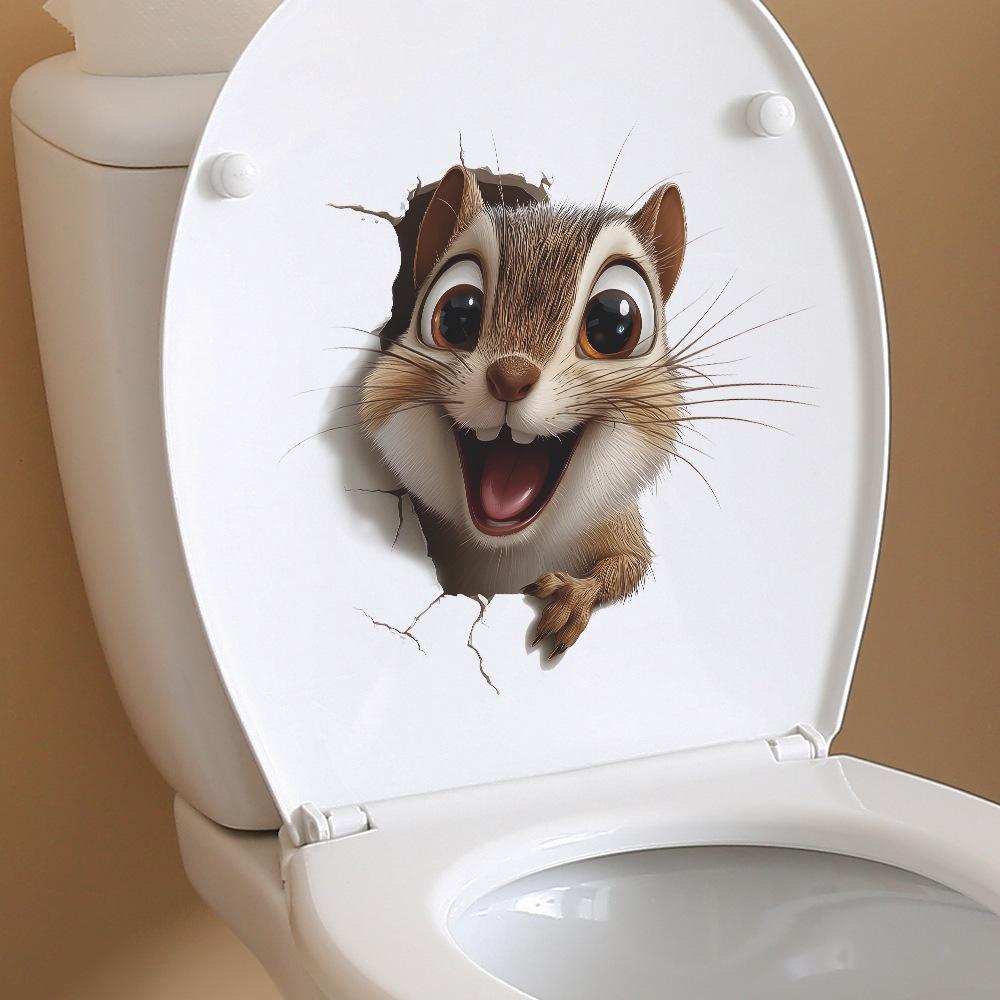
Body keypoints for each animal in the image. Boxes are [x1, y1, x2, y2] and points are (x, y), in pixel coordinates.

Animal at [360, 165, 687, 655]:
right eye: (456, 314)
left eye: (614, 323)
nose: (511, 376)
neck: (510, 550)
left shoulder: (618, 524)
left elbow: (630, 563)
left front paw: (575, 596)